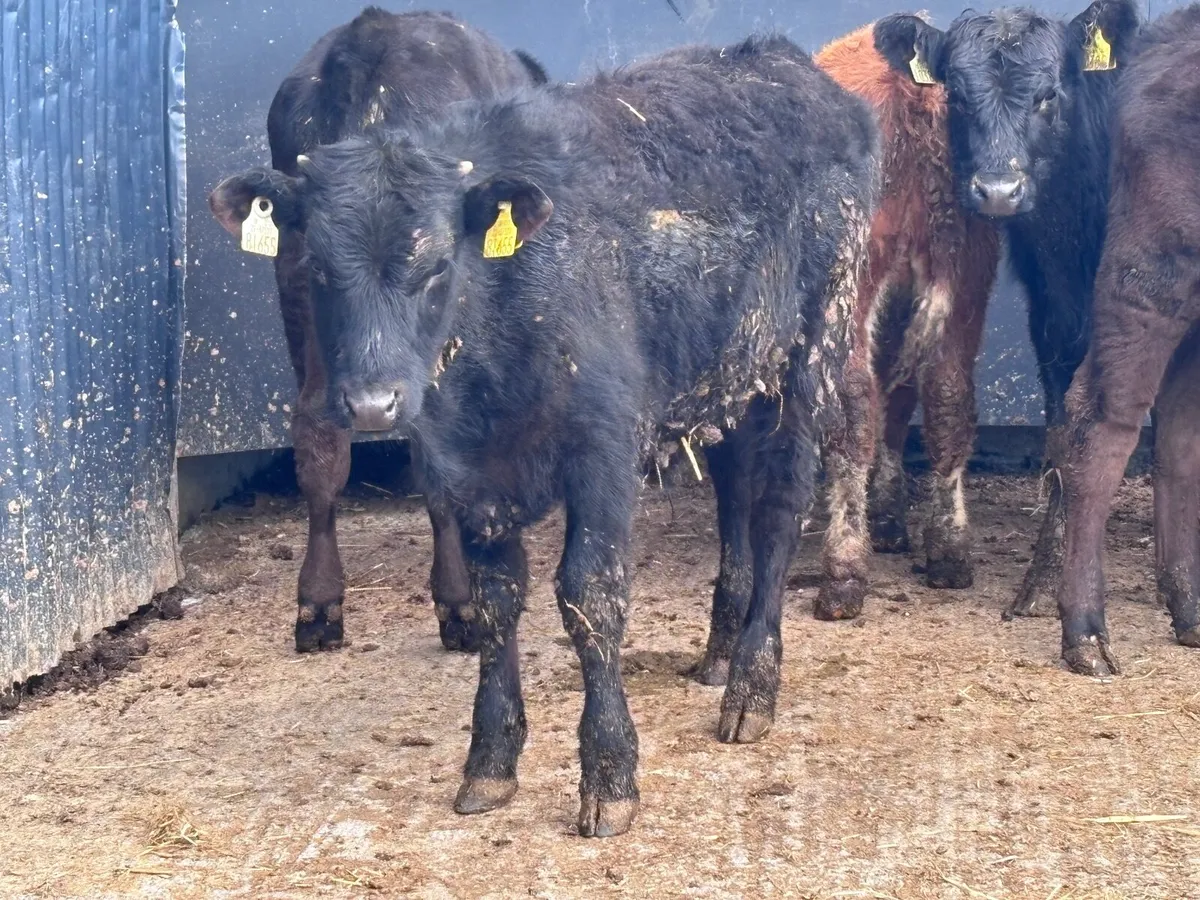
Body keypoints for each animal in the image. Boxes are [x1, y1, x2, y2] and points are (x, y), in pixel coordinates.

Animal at [208, 8, 548, 655]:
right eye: (320, 265)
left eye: (438, 266)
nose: (371, 405)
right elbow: (330, 449)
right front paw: (322, 600)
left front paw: (456, 598)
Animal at [810, 24, 1000, 620]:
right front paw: (891, 517)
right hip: (969, 271)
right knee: (946, 397)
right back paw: (949, 550)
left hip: (851, 289)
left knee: (852, 404)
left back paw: (843, 571)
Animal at [872, 0, 1142, 620]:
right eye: (958, 97)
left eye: (1047, 94)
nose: (998, 191)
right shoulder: (1056, 314)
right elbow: (1068, 434)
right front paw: (1045, 581)